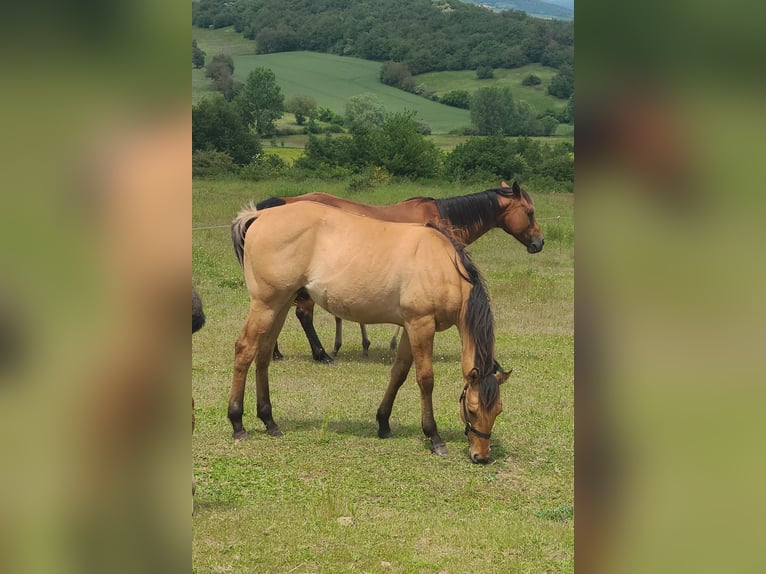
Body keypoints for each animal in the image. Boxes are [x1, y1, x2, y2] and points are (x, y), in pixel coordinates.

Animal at [228, 201, 511, 462]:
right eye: (472, 410)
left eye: (498, 410)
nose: (481, 455)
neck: (443, 265)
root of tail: (260, 215)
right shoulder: (421, 325)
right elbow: (425, 379)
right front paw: (434, 437)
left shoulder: (409, 327)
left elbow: (399, 373)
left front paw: (383, 423)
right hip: (266, 304)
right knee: (244, 350)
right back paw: (237, 423)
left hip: (282, 303)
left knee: (263, 354)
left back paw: (269, 420)